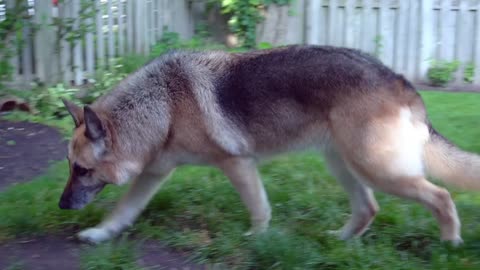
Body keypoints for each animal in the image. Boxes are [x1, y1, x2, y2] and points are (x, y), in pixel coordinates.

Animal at [60, 46, 480, 245]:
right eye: (71, 168)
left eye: (82, 170)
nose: (62, 206)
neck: (161, 105)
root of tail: (399, 79)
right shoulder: (152, 175)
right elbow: (122, 211)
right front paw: (99, 234)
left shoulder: (237, 164)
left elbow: (259, 209)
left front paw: (259, 240)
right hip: (343, 164)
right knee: (368, 208)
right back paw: (342, 240)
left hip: (377, 169)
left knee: (441, 196)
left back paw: (450, 242)